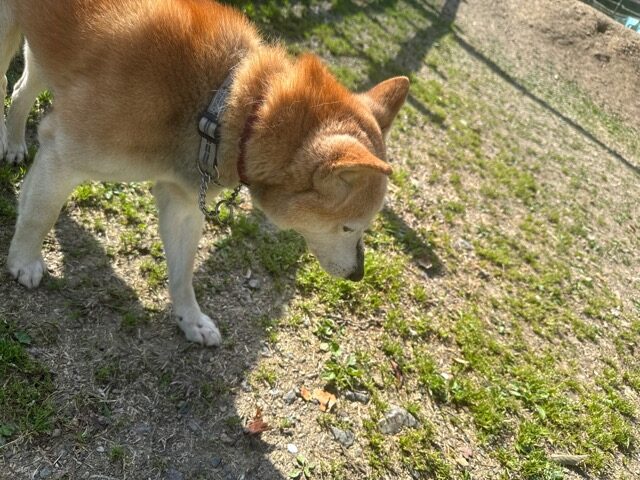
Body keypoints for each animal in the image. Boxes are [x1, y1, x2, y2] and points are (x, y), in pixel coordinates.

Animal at [1, 0, 409, 346]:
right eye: (349, 228)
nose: (358, 275)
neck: (223, 103)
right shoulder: (63, 152)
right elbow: (39, 215)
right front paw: (24, 261)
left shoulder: (183, 203)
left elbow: (183, 273)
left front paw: (191, 320)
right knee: (8, 83)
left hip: (48, 53)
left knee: (21, 90)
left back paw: (15, 142)